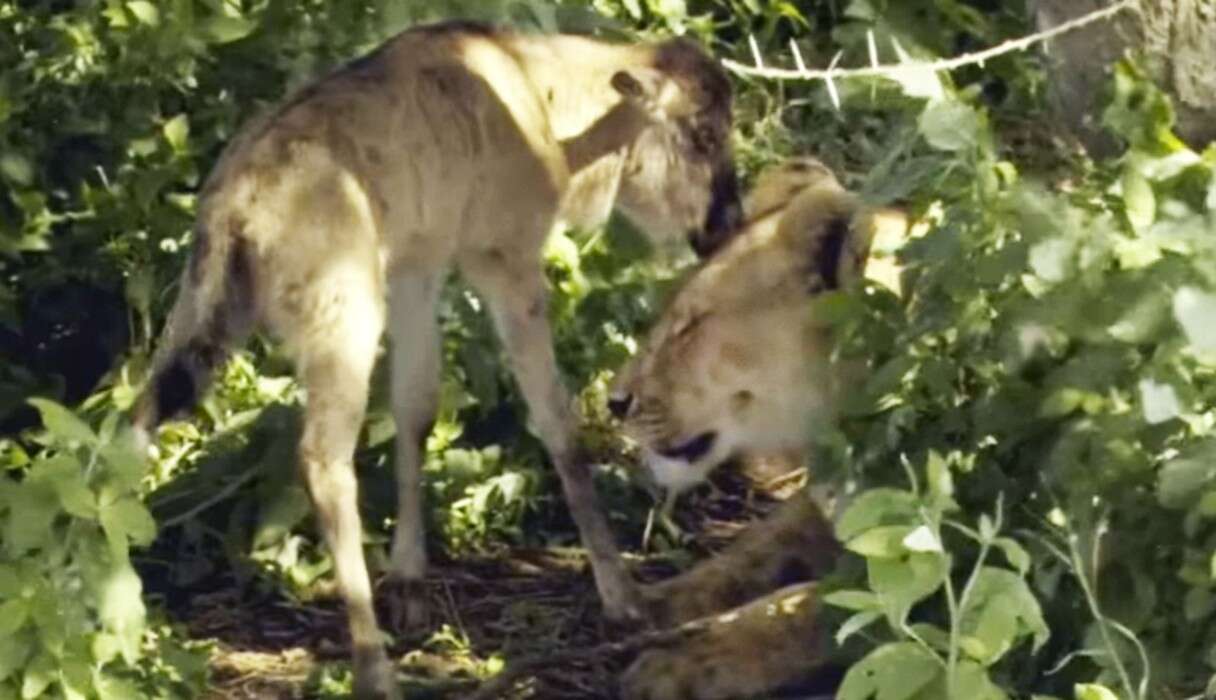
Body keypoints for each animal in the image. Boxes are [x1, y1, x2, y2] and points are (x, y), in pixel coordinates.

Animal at [130, 20, 742, 699]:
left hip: (204, 316)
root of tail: (238, 207)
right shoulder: (504, 261)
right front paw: (620, 595)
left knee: (135, 421)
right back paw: (372, 662)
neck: (541, 98)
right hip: (345, 321)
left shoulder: (417, 269)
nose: (729, 224)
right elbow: (556, 421)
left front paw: (410, 585)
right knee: (322, 459)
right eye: (702, 135)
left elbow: (416, 407)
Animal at [609, 158, 904, 699]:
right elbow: (754, 548)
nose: (613, 402)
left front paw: (679, 664)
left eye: (691, 325)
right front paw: (654, 602)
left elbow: (807, 610)